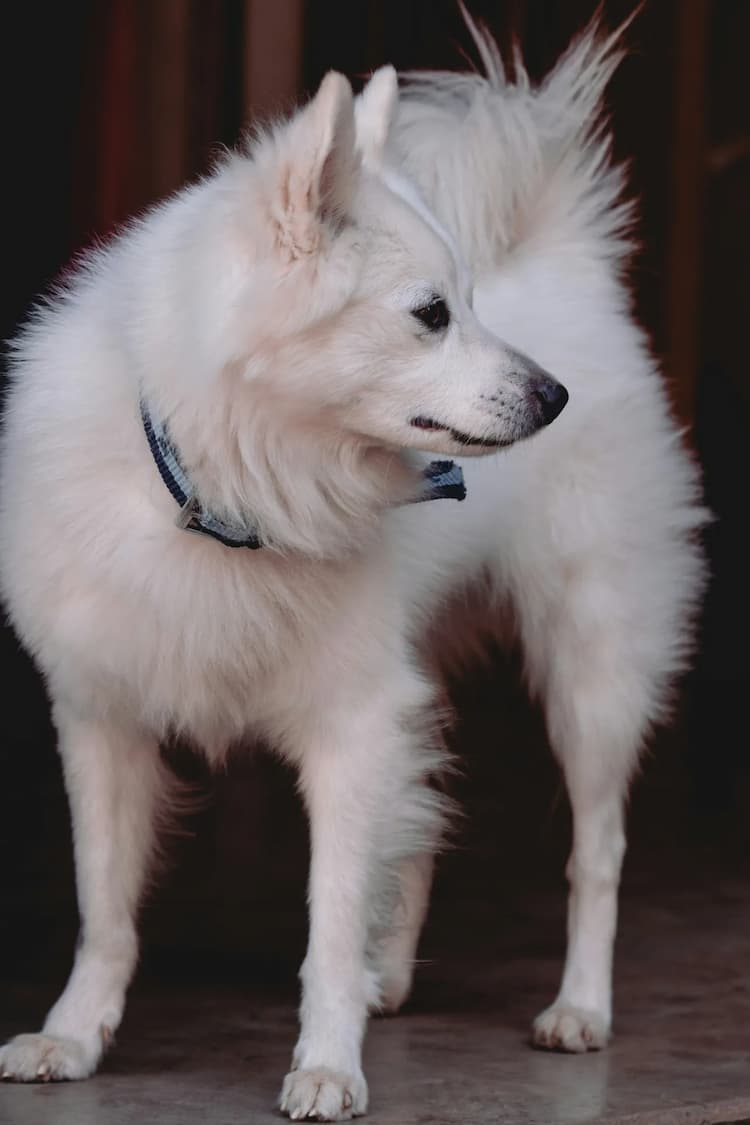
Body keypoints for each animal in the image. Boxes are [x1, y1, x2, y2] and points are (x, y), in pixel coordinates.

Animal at [0, 17, 706, 1125]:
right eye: (432, 314)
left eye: (469, 305)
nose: (554, 395)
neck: (225, 486)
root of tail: (569, 262)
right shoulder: (102, 715)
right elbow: (104, 904)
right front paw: (75, 1035)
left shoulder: (351, 722)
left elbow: (330, 915)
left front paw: (328, 1061)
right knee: (419, 832)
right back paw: (396, 976)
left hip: (593, 669)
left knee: (597, 849)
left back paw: (578, 1008)